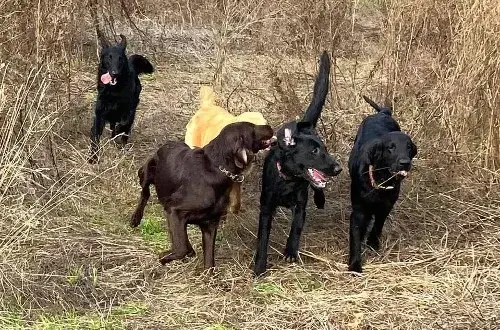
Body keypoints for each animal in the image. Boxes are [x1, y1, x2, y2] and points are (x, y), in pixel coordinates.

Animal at [88, 33, 153, 164]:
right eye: (109, 58)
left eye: (120, 58)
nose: (115, 73)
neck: (113, 92)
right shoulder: (99, 115)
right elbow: (95, 136)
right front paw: (93, 157)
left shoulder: (128, 111)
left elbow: (122, 125)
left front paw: (116, 136)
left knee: (124, 132)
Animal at [131, 121, 276, 268]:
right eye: (252, 127)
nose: (270, 126)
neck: (217, 167)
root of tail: (166, 143)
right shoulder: (174, 210)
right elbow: (181, 248)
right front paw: (164, 257)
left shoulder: (209, 224)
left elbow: (209, 262)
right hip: (146, 171)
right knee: (145, 193)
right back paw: (135, 219)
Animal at [254, 51, 344, 276]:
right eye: (314, 151)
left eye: (325, 148)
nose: (338, 168)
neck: (289, 179)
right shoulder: (266, 207)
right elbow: (263, 238)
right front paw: (259, 266)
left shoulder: (300, 204)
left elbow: (296, 227)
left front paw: (291, 252)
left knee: (318, 189)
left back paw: (320, 199)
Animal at [346, 95, 416, 274]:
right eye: (391, 147)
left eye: (409, 147)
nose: (405, 163)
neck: (381, 182)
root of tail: (383, 113)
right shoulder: (359, 210)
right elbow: (356, 236)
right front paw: (355, 264)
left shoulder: (386, 206)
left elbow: (378, 225)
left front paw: (372, 242)